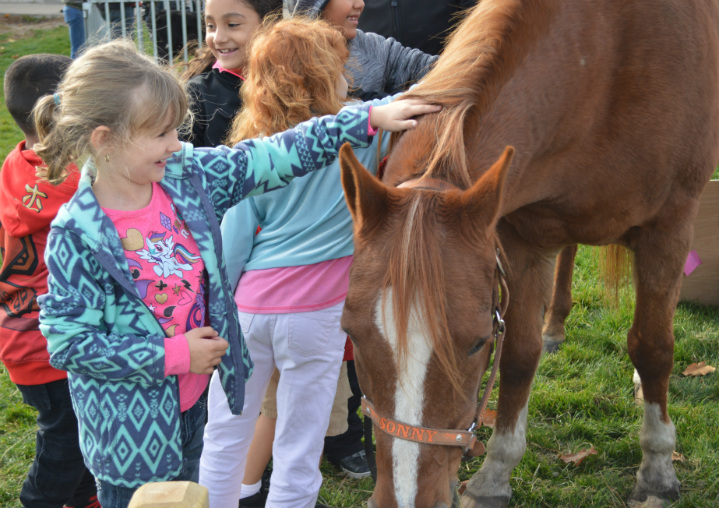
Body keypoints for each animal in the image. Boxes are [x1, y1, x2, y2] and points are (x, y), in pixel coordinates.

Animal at [338, 0, 719, 508]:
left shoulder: (668, 228)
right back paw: (554, 323)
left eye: (477, 342)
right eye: (352, 334)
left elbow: (653, 346)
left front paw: (658, 470)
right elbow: (520, 357)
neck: (605, 59)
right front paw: (494, 476)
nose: (404, 498)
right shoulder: (522, 240)